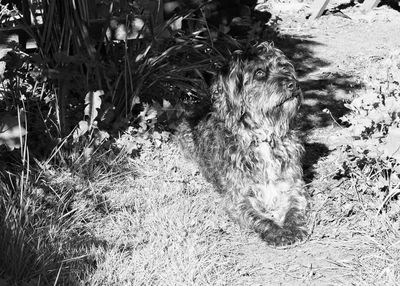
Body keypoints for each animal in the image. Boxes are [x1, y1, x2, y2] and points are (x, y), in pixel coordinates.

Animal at [179, 42, 310, 246]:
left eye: (285, 68)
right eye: (259, 73)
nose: (294, 84)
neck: (263, 137)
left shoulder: (293, 187)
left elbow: (294, 208)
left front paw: (293, 227)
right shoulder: (239, 199)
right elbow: (260, 218)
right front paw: (276, 232)